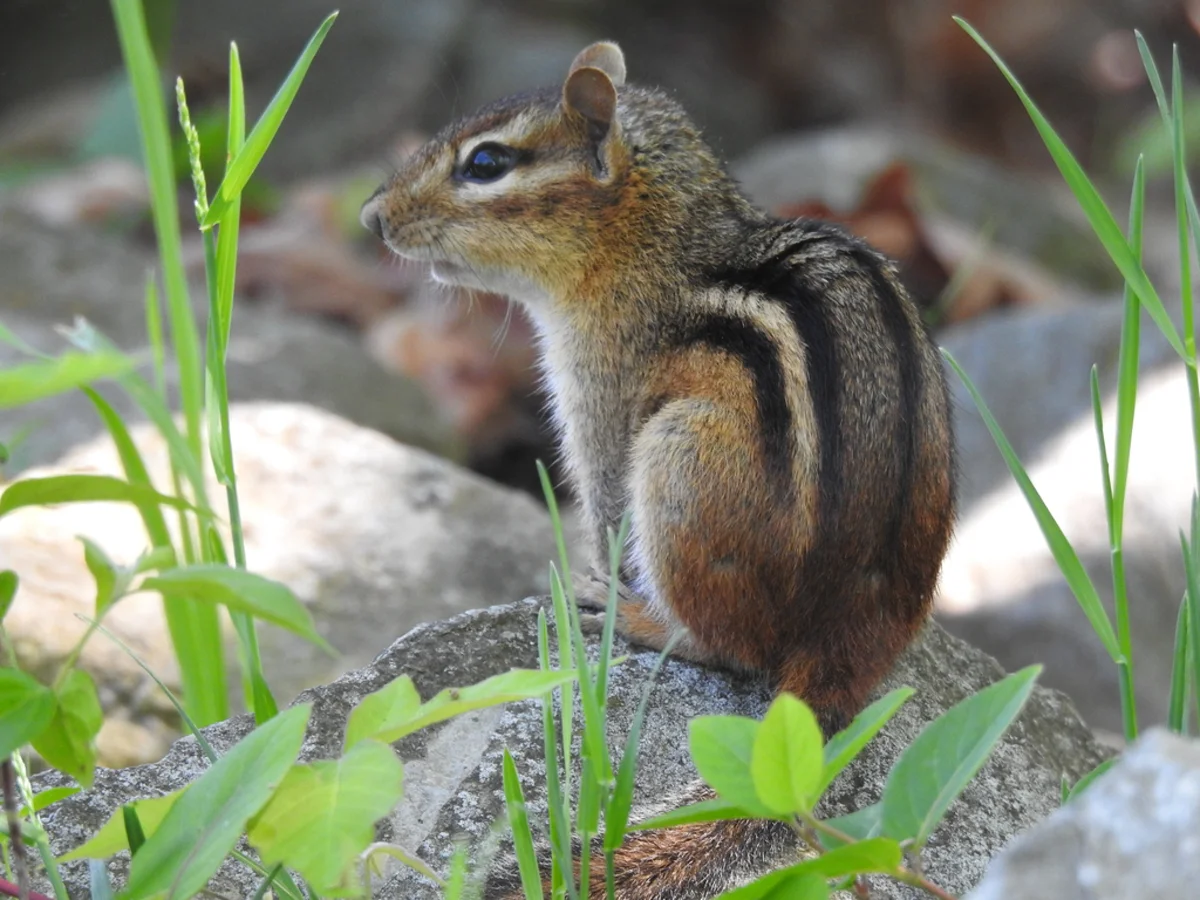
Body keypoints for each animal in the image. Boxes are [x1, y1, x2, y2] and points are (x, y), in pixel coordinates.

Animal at [361, 40, 955, 900]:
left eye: (486, 163)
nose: (371, 217)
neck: (658, 233)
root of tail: (847, 634)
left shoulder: (601, 397)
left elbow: (604, 503)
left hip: (677, 466)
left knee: (729, 649)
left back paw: (638, 619)